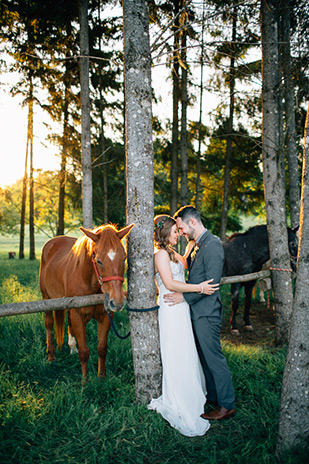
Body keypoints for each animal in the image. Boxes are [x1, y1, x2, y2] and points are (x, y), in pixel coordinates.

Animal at [38, 223, 134, 378]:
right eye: (99, 261)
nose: (118, 302)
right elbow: (84, 352)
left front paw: (102, 377)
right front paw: (85, 380)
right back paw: (51, 356)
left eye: (124, 258)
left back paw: (72, 348)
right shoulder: (77, 314)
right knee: (49, 324)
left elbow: (102, 348)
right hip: (46, 298)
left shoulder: (105, 316)